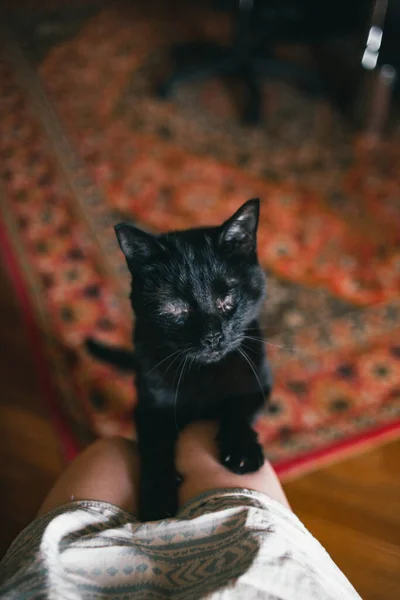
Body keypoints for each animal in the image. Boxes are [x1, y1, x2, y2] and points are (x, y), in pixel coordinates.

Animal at [86, 200, 272, 520]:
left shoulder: (257, 382)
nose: (212, 337)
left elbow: (238, 409)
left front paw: (242, 450)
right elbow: (155, 447)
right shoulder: (150, 406)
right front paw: (158, 501)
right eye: (176, 307)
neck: (203, 373)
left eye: (227, 299)